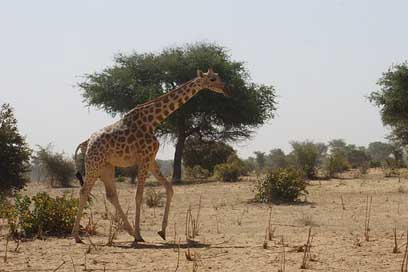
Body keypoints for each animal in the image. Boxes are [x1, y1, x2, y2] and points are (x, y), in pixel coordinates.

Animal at [72, 68, 230, 244]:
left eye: (218, 76)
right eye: (212, 79)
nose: (226, 89)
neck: (153, 121)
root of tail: (86, 143)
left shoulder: (151, 159)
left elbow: (169, 188)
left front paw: (162, 231)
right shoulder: (144, 158)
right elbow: (139, 196)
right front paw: (140, 235)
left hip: (107, 167)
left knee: (111, 195)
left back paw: (129, 231)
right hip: (94, 165)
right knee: (84, 191)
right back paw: (77, 236)